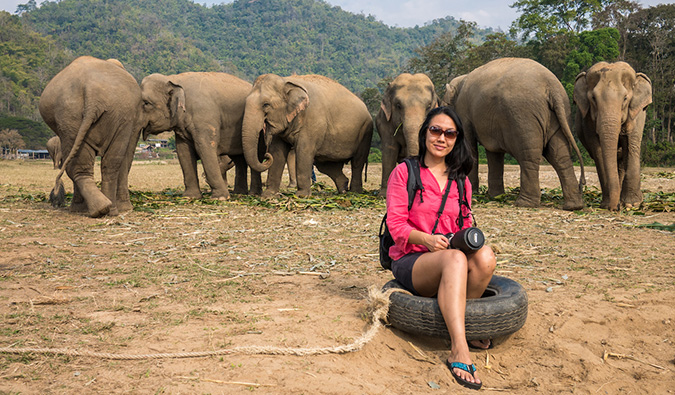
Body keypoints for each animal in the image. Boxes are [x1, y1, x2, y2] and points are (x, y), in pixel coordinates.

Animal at [39, 56, 145, 218]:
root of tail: (91, 91)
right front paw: (126, 208)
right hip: (112, 115)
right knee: (111, 162)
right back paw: (107, 209)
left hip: (69, 116)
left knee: (79, 163)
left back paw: (95, 209)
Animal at [140, 72, 262, 200]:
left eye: (146, 103)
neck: (173, 78)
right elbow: (183, 151)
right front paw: (189, 197)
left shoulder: (205, 117)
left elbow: (204, 147)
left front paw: (220, 198)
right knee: (239, 159)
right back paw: (239, 193)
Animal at [240, 73, 372, 197]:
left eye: (266, 104)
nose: (266, 155)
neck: (286, 81)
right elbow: (277, 152)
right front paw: (268, 196)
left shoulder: (312, 120)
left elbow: (303, 151)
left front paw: (301, 196)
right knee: (325, 164)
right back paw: (343, 189)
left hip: (365, 132)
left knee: (357, 162)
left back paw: (355, 192)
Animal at [444, 58, 588, 210]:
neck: (461, 80)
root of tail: (551, 86)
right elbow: (494, 153)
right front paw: (496, 197)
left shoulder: (464, 112)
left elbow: (472, 147)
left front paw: (476, 193)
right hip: (561, 113)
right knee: (560, 156)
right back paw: (574, 206)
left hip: (523, 118)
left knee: (528, 156)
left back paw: (524, 203)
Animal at [572, 62, 652, 210]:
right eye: (593, 98)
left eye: (625, 98)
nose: (615, 209)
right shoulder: (588, 121)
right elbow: (598, 152)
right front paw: (607, 204)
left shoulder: (636, 114)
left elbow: (631, 145)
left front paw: (632, 204)